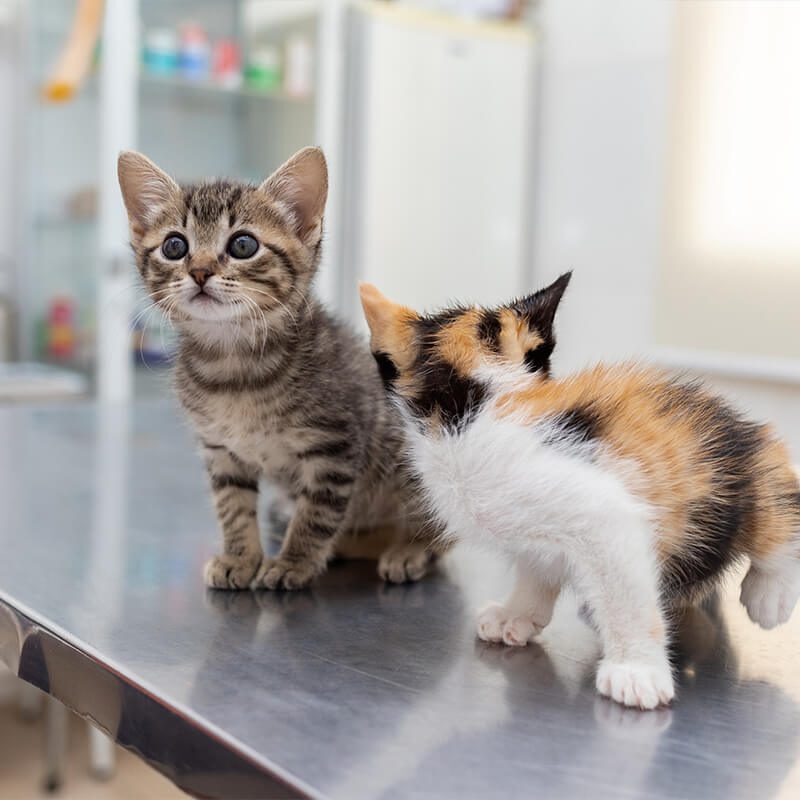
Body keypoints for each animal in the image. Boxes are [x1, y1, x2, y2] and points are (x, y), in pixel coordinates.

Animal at [117, 147, 444, 592]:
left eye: (242, 244)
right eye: (174, 246)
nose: (199, 271)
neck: (234, 365)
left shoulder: (334, 448)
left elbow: (316, 514)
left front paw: (293, 561)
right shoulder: (220, 451)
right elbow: (233, 507)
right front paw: (240, 557)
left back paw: (409, 549)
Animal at [360, 274, 800, 708]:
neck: (479, 405)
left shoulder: (605, 515)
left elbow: (627, 597)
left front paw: (635, 670)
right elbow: (536, 565)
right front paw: (517, 613)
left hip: (751, 474)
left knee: (778, 505)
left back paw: (769, 594)